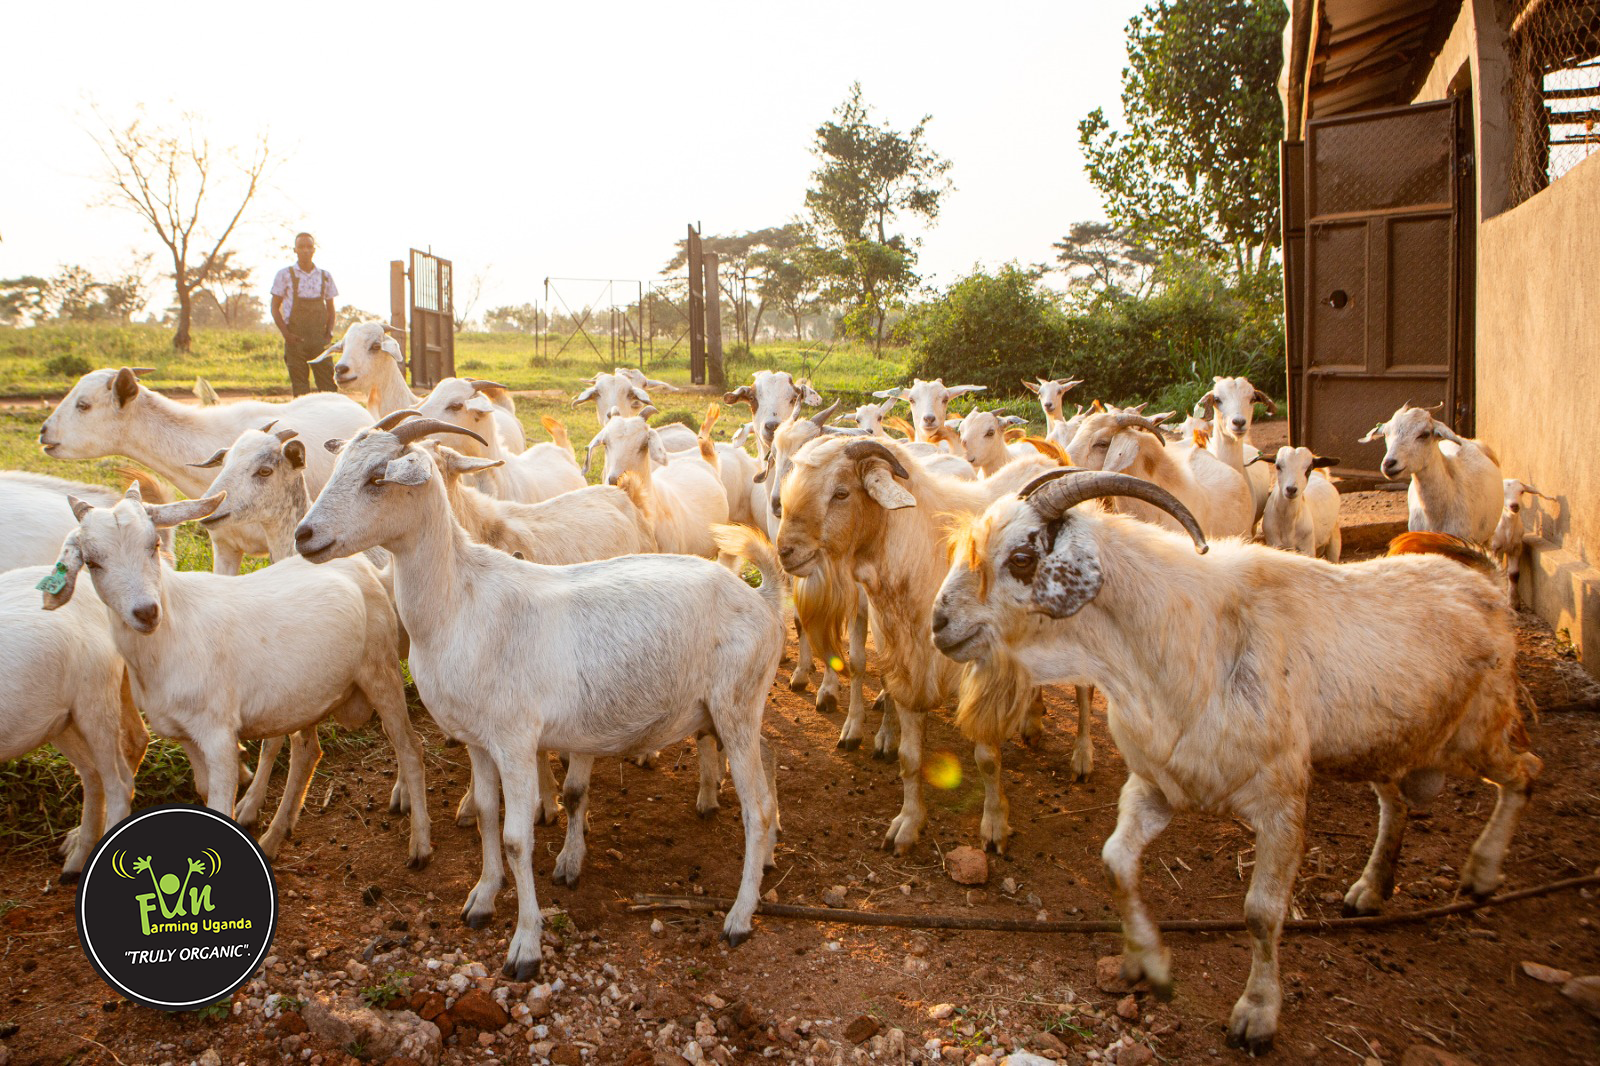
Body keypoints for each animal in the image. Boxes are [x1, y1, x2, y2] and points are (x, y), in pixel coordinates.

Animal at [44, 480, 432, 866]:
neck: (172, 632)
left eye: (153, 545)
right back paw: (275, 835)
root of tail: (365, 569)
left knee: (408, 745)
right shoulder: (186, 735)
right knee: (307, 752)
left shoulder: (219, 735)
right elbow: (203, 791)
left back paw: (420, 844)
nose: (146, 612)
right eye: (92, 562)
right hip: (307, 696)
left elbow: (221, 801)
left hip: (379, 669)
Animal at [293, 416, 783, 977]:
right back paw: (770, 853)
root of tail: (763, 597)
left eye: (378, 477)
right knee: (769, 759)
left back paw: (740, 917)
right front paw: (481, 900)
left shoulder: (515, 739)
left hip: (735, 706)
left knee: (755, 808)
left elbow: (516, 838)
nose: (303, 535)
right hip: (734, 709)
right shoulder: (477, 740)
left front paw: (525, 944)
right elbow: (487, 814)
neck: (460, 603)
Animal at [775, 437, 1069, 855]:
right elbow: (910, 757)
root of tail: (1044, 460)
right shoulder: (905, 664)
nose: (786, 551)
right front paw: (908, 824)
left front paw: (995, 825)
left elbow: (987, 758)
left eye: (841, 492)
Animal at [931, 471, 1539, 1054]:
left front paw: (1256, 1017)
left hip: (1477, 732)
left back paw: (1481, 875)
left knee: (1526, 773)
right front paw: (1144, 963)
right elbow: (1115, 863)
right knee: (1396, 803)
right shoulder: (1154, 785)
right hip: (1384, 744)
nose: (939, 622)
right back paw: (1370, 890)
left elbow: (1262, 913)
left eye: (1022, 558)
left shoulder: (1282, 800)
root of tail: (1485, 581)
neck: (1185, 637)